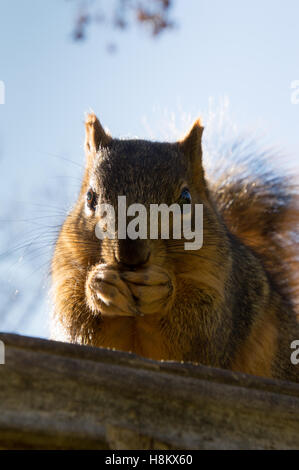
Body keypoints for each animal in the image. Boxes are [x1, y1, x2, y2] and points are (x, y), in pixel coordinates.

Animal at [51, 113, 299, 382]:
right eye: (90, 198)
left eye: (186, 198)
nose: (130, 255)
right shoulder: (67, 272)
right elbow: (79, 328)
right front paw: (99, 285)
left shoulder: (222, 289)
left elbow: (199, 336)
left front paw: (161, 289)